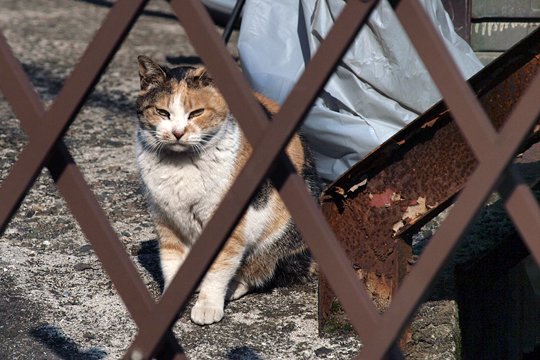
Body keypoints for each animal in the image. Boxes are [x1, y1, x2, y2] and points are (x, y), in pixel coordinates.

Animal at [135, 54, 320, 324]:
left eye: (196, 113)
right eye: (162, 112)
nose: (178, 133)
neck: (180, 166)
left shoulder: (229, 228)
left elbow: (219, 269)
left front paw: (207, 306)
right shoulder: (165, 220)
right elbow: (171, 263)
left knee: (259, 271)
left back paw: (230, 288)